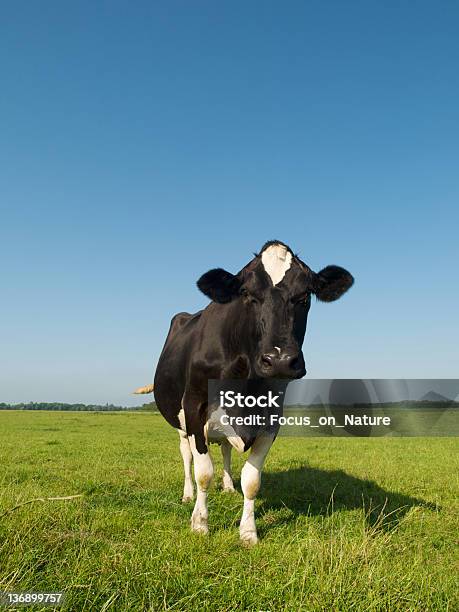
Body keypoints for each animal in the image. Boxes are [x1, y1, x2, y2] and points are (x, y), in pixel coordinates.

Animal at [135, 240, 354, 544]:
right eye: (248, 294)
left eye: (304, 296)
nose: (280, 361)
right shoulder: (194, 408)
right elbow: (204, 472)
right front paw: (200, 523)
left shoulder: (271, 417)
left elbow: (251, 480)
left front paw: (248, 532)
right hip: (180, 422)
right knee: (187, 455)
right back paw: (188, 494)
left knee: (226, 450)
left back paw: (228, 486)